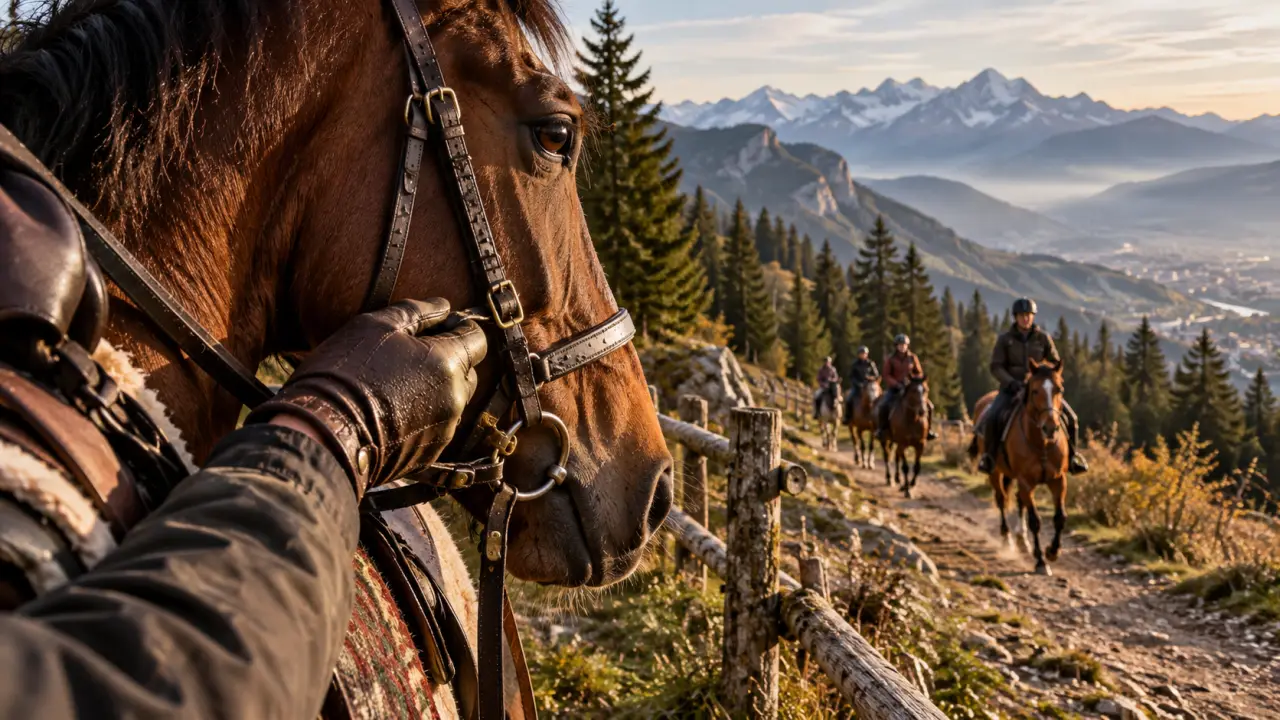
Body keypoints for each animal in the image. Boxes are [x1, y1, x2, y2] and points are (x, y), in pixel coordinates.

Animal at [969, 359, 1068, 575]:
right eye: (1035, 390)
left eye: (1059, 389)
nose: (1050, 427)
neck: (1042, 444)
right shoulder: (1026, 481)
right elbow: (1035, 521)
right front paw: (1041, 561)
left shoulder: (1058, 480)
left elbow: (1060, 517)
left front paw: (1052, 551)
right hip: (995, 472)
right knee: (1001, 499)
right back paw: (1007, 538)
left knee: (1017, 500)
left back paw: (1022, 541)